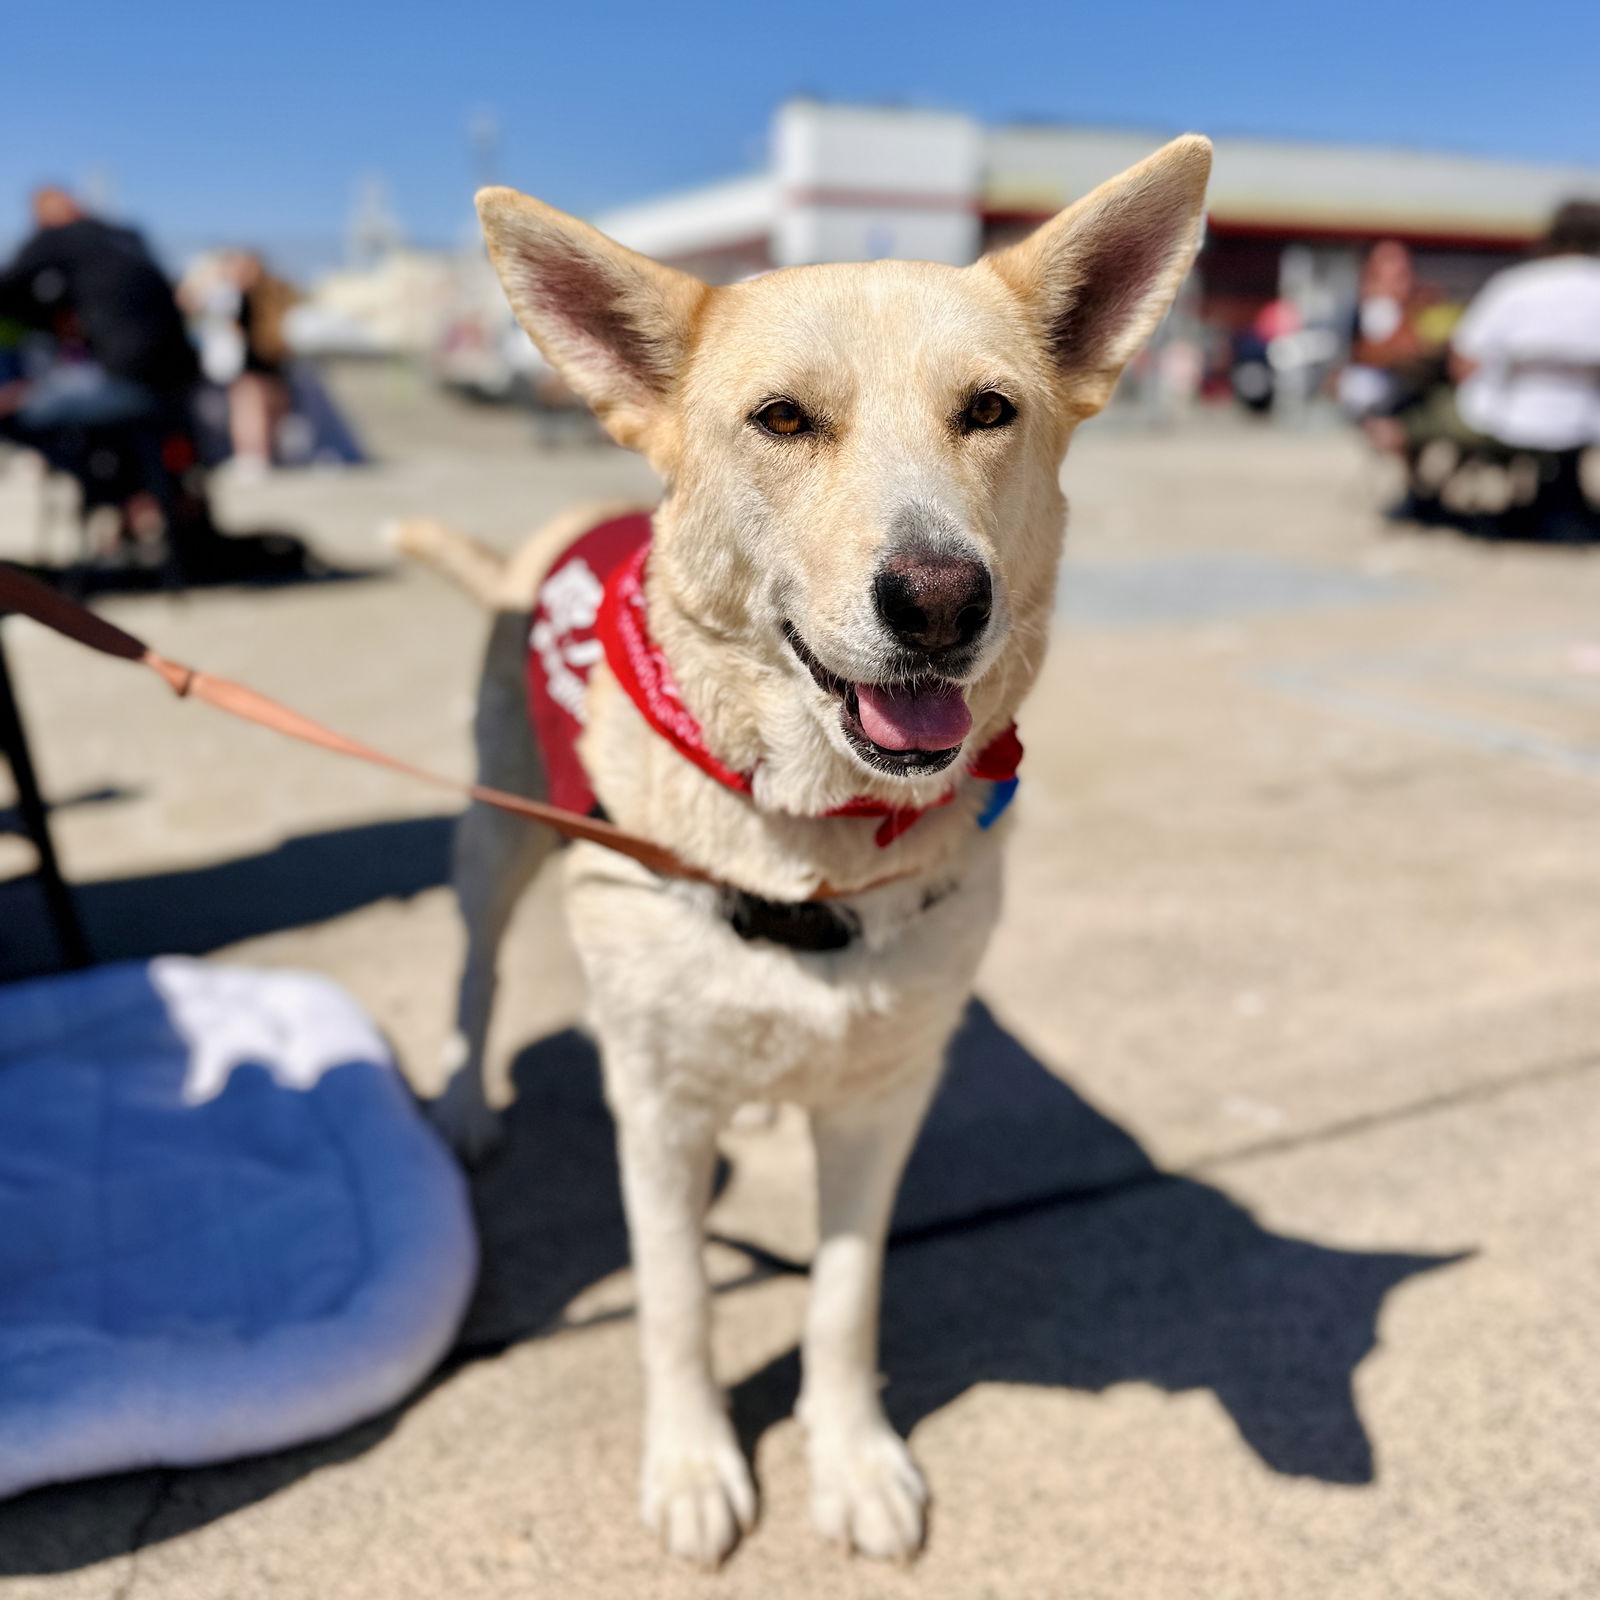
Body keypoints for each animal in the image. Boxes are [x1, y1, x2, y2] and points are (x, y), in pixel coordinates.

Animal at [400, 137, 1209, 1561]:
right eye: (782, 419)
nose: (940, 600)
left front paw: (852, 1458)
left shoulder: (883, 1107)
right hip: (496, 834)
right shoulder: (659, 1116)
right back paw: (462, 1099)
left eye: (988, 410)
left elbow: (842, 1296)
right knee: (478, 968)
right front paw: (693, 1465)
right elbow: (677, 1303)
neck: (811, 842)